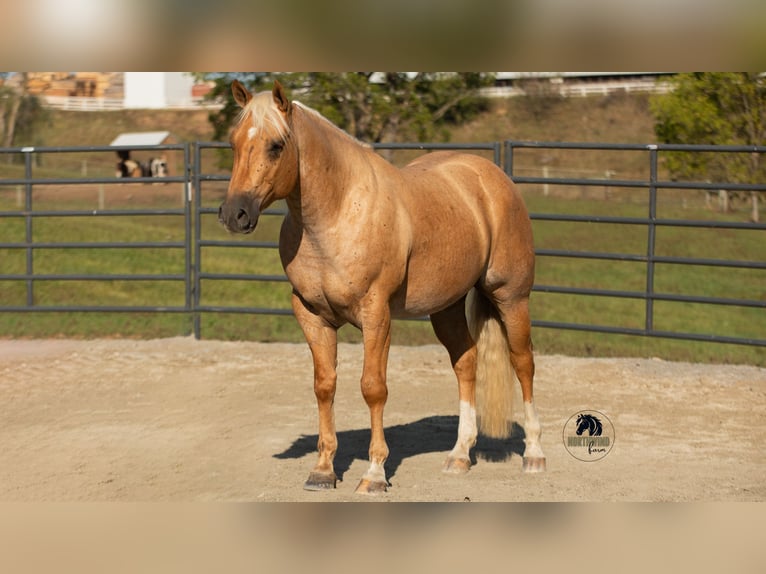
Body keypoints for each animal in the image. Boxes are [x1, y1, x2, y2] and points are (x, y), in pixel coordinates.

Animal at [218, 80, 546, 494]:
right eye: (233, 142)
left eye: (276, 145)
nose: (235, 214)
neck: (338, 212)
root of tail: (492, 177)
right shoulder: (311, 316)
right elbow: (324, 386)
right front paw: (323, 470)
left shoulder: (376, 315)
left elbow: (373, 387)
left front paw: (374, 473)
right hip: (447, 307)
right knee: (466, 363)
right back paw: (459, 455)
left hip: (511, 297)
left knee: (523, 363)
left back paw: (534, 454)